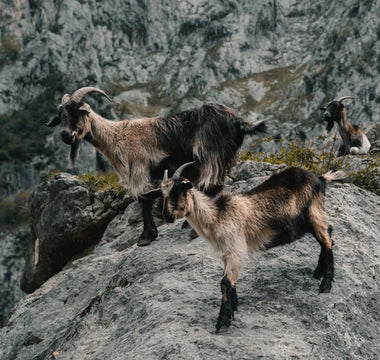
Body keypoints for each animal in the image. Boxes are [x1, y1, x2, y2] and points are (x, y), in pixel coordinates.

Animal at [46, 86, 266, 246]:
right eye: (61, 116)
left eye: (78, 112)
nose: (66, 136)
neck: (117, 136)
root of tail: (238, 120)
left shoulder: (139, 167)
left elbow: (143, 199)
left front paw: (146, 236)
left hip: (209, 153)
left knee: (211, 185)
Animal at [143, 162, 348, 334]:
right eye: (162, 194)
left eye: (179, 190)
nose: (167, 215)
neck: (217, 217)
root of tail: (319, 178)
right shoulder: (226, 254)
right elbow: (229, 281)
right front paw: (234, 306)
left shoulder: (236, 250)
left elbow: (225, 282)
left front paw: (223, 322)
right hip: (309, 220)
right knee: (328, 234)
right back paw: (318, 271)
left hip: (312, 212)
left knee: (326, 240)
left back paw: (326, 285)